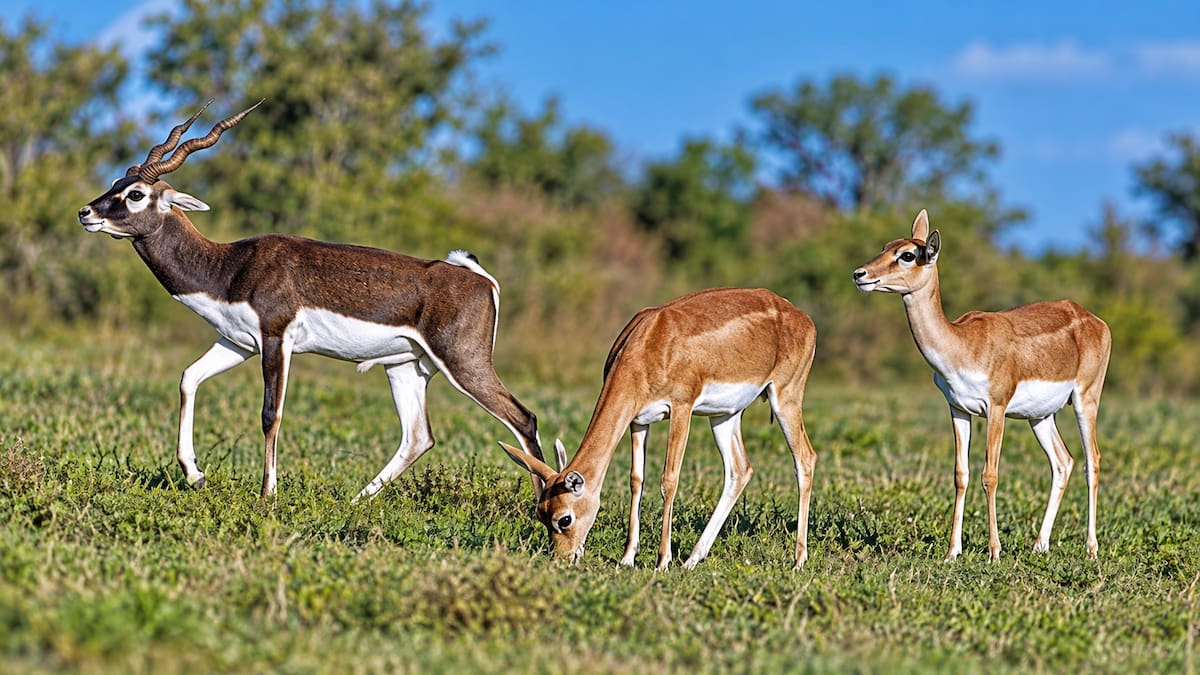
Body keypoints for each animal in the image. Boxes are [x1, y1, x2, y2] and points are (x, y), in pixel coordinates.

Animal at [77, 100, 543, 499]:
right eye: (116, 182)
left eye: (136, 194)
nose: (86, 212)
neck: (230, 266)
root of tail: (477, 278)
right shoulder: (237, 342)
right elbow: (188, 378)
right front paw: (195, 474)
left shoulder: (276, 338)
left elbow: (270, 414)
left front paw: (268, 495)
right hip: (406, 367)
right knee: (418, 437)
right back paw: (356, 502)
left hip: (463, 363)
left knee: (523, 418)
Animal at [502, 287, 819, 570]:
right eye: (540, 513)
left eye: (564, 518)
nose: (563, 558)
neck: (647, 345)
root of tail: (802, 317)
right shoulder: (638, 420)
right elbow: (636, 479)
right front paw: (627, 557)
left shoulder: (681, 408)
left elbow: (669, 479)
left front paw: (662, 560)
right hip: (723, 416)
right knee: (740, 470)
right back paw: (692, 560)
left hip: (785, 397)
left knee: (805, 459)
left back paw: (798, 560)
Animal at [852, 210, 1111, 561]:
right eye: (885, 246)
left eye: (907, 255)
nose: (860, 274)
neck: (963, 344)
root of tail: (1096, 320)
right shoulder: (958, 409)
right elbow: (960, 475)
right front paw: (952, 552)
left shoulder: (996, 408)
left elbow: (990, 475)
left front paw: (994, 552)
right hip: (1040, 416)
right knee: (1063, 462)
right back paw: (1039, 545)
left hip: (1086, 399)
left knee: (1092, 461)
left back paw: (1091, 548)